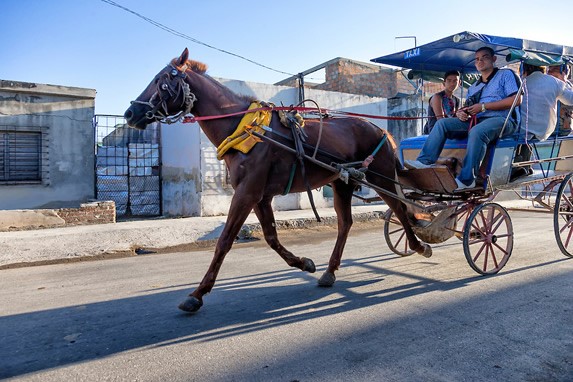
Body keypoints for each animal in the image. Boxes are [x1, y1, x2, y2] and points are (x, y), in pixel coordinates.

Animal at [125, 47, 428, 312]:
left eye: (161, 80)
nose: (130, 113)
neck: (245, 129)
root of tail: (381, 130)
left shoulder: (247, 192)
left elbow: (225, 240)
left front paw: (197, 294)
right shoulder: (260, 195)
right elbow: (271, 237)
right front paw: (305, 263)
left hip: (382, 177)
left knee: (400, 209)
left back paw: (419, 245)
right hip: (342, 182)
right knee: (346, 223)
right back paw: (330, 271)